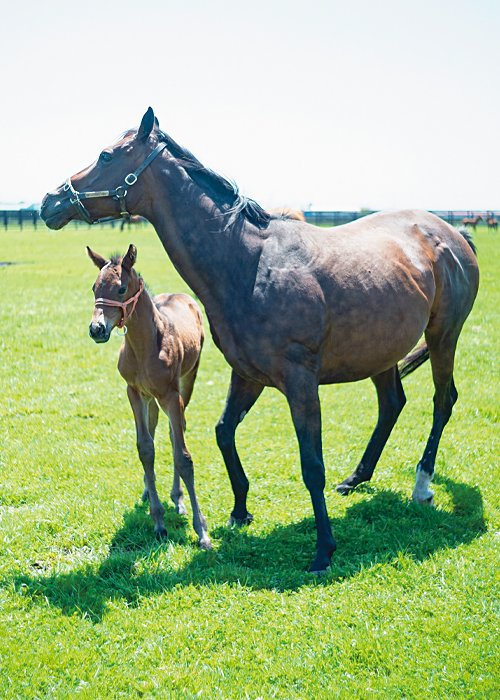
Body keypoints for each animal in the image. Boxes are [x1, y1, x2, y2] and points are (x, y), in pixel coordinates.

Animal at [86, 243, 211, 549]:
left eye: (121, 289)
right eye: (94, 287)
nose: (97, 329)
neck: (145, 347)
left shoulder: (171, 394)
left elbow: (183, 456)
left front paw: (201, 531)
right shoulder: (133, 391)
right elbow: (145, 448)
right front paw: (158, 522)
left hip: (186, 381)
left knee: (175, 431)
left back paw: (178, 499)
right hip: (151, 396)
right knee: (155, 429)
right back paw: (148, 490)